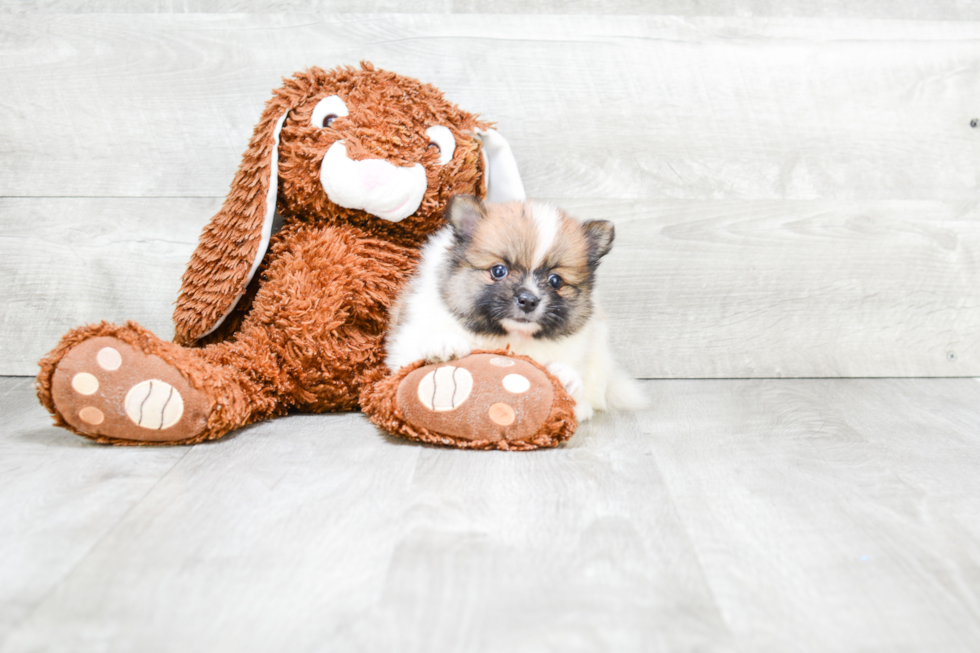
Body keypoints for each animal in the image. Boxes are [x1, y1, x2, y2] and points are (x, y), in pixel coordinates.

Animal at [384, 194, 652, 420]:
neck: (510, 337)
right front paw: (444, 343)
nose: (529, 300)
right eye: (498, 271)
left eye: (555, 281)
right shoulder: (405, 343)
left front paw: (565, 376)